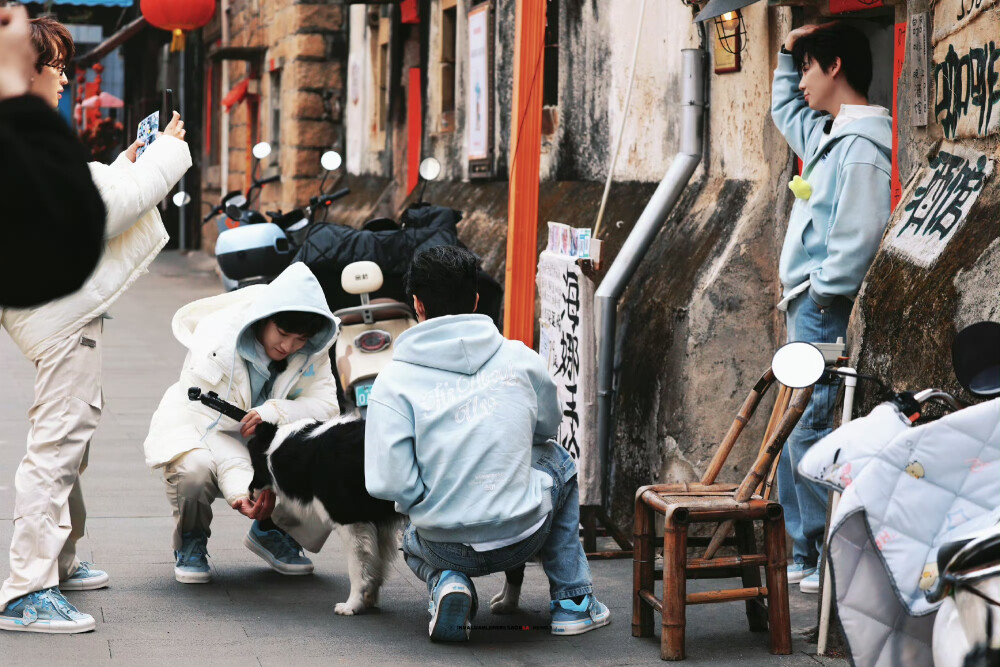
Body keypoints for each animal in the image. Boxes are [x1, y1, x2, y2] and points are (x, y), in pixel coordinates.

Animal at [248, 418, 532, 616]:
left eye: (254, 465)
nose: (249, 492)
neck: (304, 449)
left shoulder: (351, 523)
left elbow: (357, 567)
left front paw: (352, 605)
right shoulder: (377, 523)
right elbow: (375, 562)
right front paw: (369, 599)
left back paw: (506, 604)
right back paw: (504, 602)